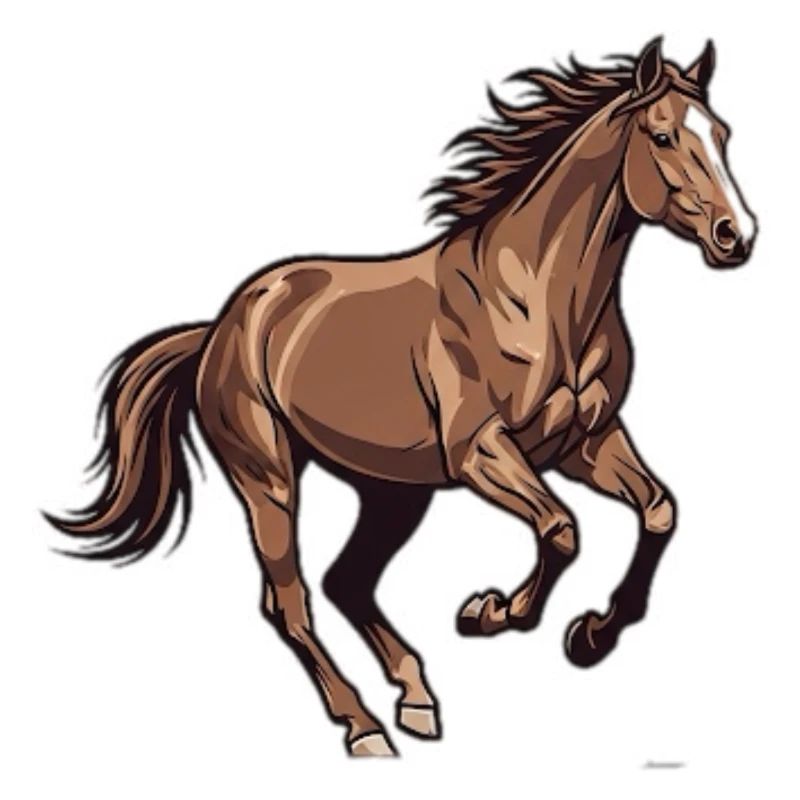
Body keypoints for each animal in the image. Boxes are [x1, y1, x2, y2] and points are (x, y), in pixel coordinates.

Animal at [47, 37, 757, 757]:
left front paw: (590, 636)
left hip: (392, 491)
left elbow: (659, 512)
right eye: (663, 135)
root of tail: (219, 328)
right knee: (290, 601)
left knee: (347, 581)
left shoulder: (583, 443)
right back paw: (364, 728)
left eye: (722, 134)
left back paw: (416, 699)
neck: (537, 300)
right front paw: (490, 612)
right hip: (268, 478)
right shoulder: (480, 453)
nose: (737, 236)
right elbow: (561, 531)